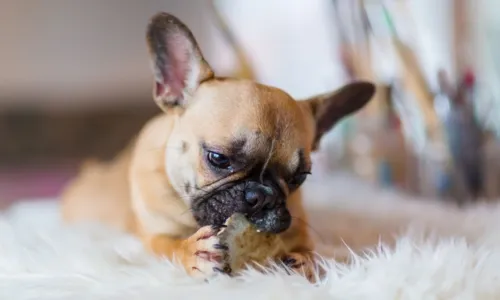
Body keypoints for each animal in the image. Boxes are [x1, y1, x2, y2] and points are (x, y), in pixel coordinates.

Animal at [61, 11, 376, 278]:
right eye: (218, 158)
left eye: (299, 178)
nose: (263, 196)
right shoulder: (152, 235)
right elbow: (166, 245)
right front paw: (191, 251)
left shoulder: (298, 227)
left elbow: (308, 245)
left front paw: (305, 260)